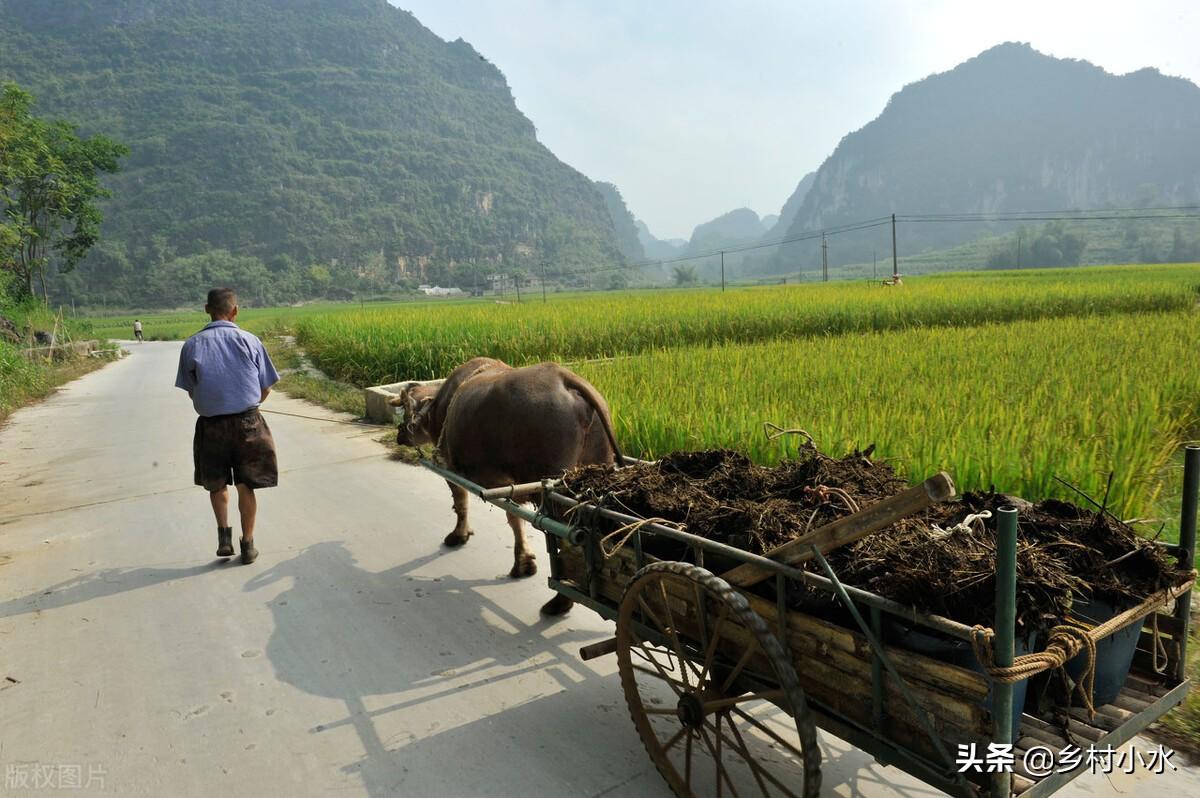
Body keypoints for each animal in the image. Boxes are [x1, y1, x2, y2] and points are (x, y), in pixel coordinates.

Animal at [393, 357, 624, 612]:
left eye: (405, 412)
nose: (399, 435)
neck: (438, 408)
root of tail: (565, 379)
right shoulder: (509, 484)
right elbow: (515, 519)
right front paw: (524, 562)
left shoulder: (451, 469)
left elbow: (461, 504)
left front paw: (458, 535)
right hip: (599, 462)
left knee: (566, 540)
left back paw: (560, 600)